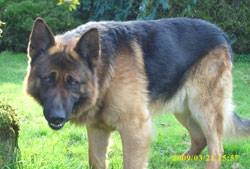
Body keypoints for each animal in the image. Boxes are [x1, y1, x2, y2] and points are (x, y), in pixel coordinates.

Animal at [24, 17, 249, 168]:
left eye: (73, 82)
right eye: (47, 80)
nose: (56, 117)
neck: (105, 72)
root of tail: (220, 32)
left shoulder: (135, 132)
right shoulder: (97, 129)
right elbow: (96, 161)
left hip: (204, 108)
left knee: (216, 148)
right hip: (184, 108)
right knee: (200, 138)